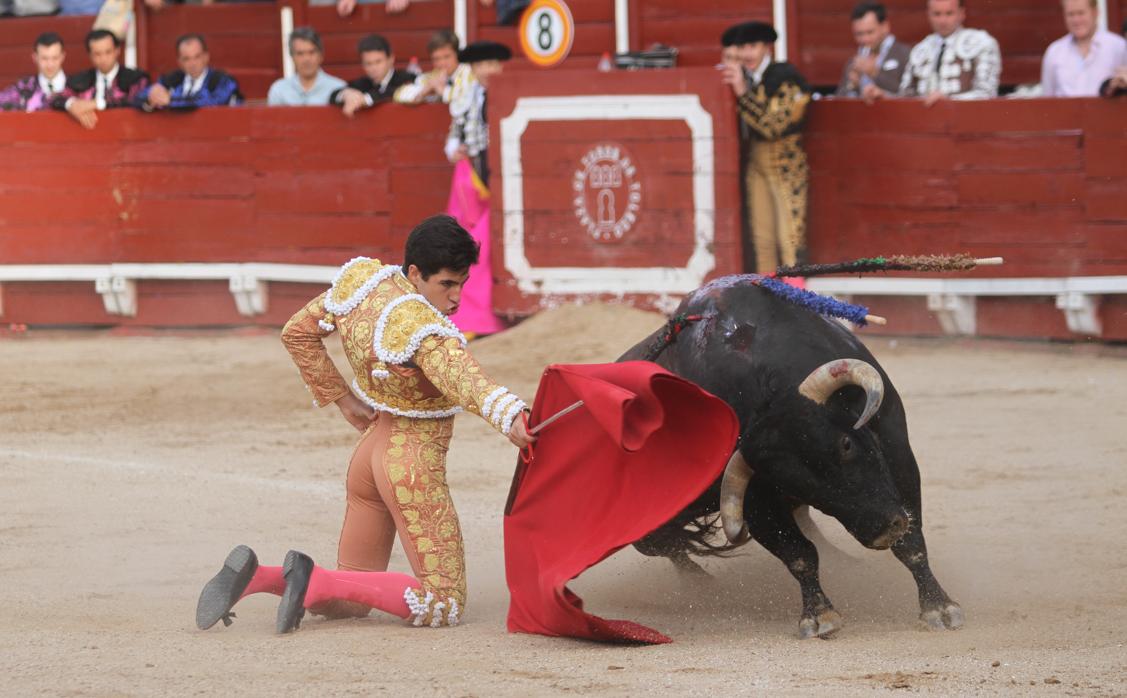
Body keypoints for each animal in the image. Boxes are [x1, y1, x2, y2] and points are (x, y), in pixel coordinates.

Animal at [617, 278, 960, 640]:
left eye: (846, 444)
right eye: (792, 482)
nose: (882, 529)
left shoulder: (896, 448)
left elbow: (911, 539)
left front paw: (938, 606)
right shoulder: (755, 498)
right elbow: (799, 554)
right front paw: (820, 615)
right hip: (647, 527)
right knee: (665, 546)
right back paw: (702, 585)